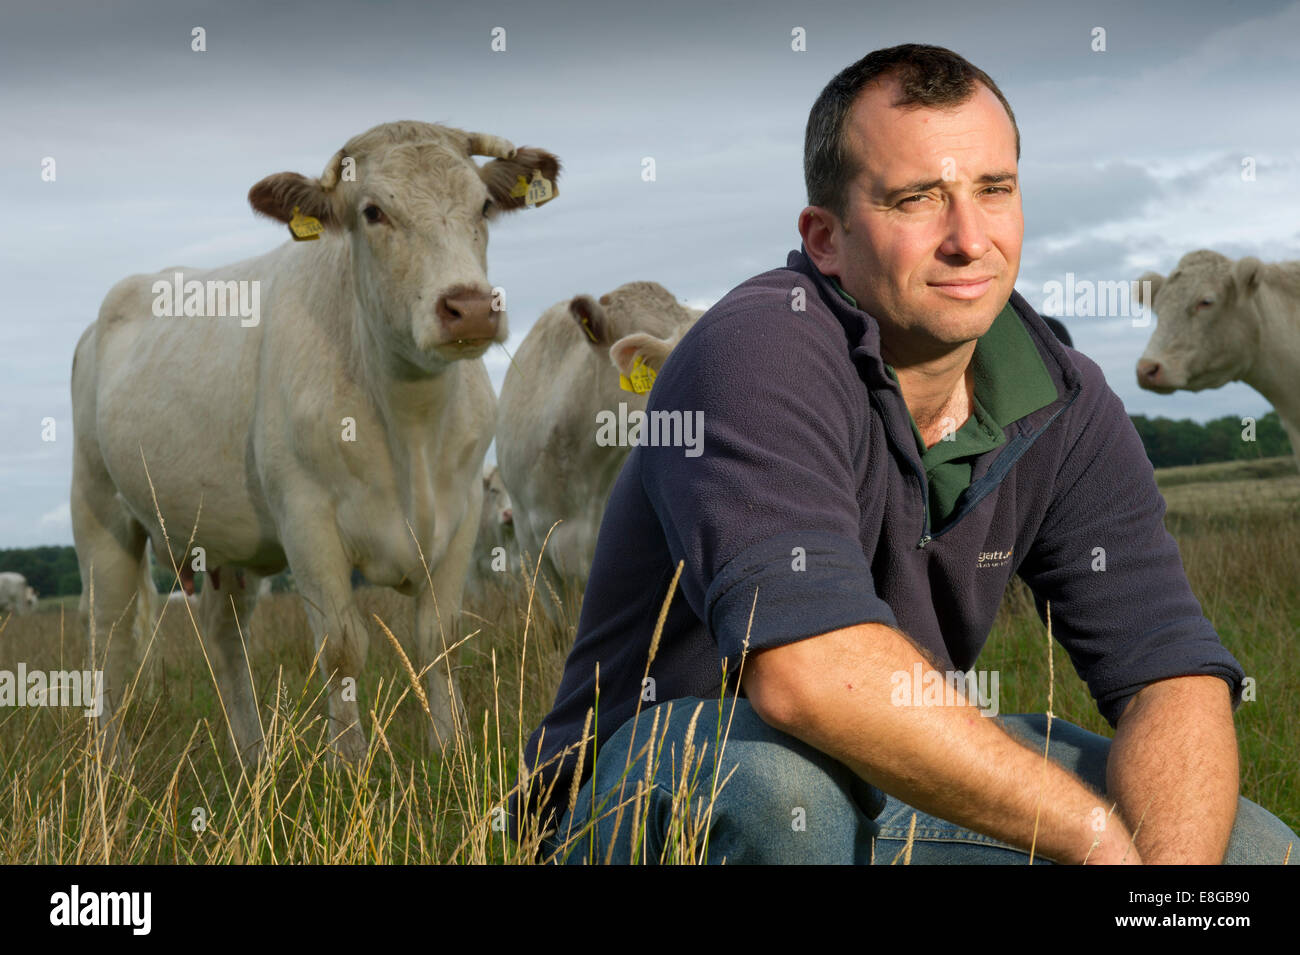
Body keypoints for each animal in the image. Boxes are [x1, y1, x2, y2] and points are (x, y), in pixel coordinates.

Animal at [71, 121, 559, 764]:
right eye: (373, 212)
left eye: (482, 205)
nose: (471, 307)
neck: (411, 427)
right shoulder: (307, 521)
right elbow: (342, 648)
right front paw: (349, 764)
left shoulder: (462, 517)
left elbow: (439, 638)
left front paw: (450, 750)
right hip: (100, 513)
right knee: (108, 641)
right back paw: (112, 765)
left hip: (226, 544)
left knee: (223, 634)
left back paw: (253, 756)